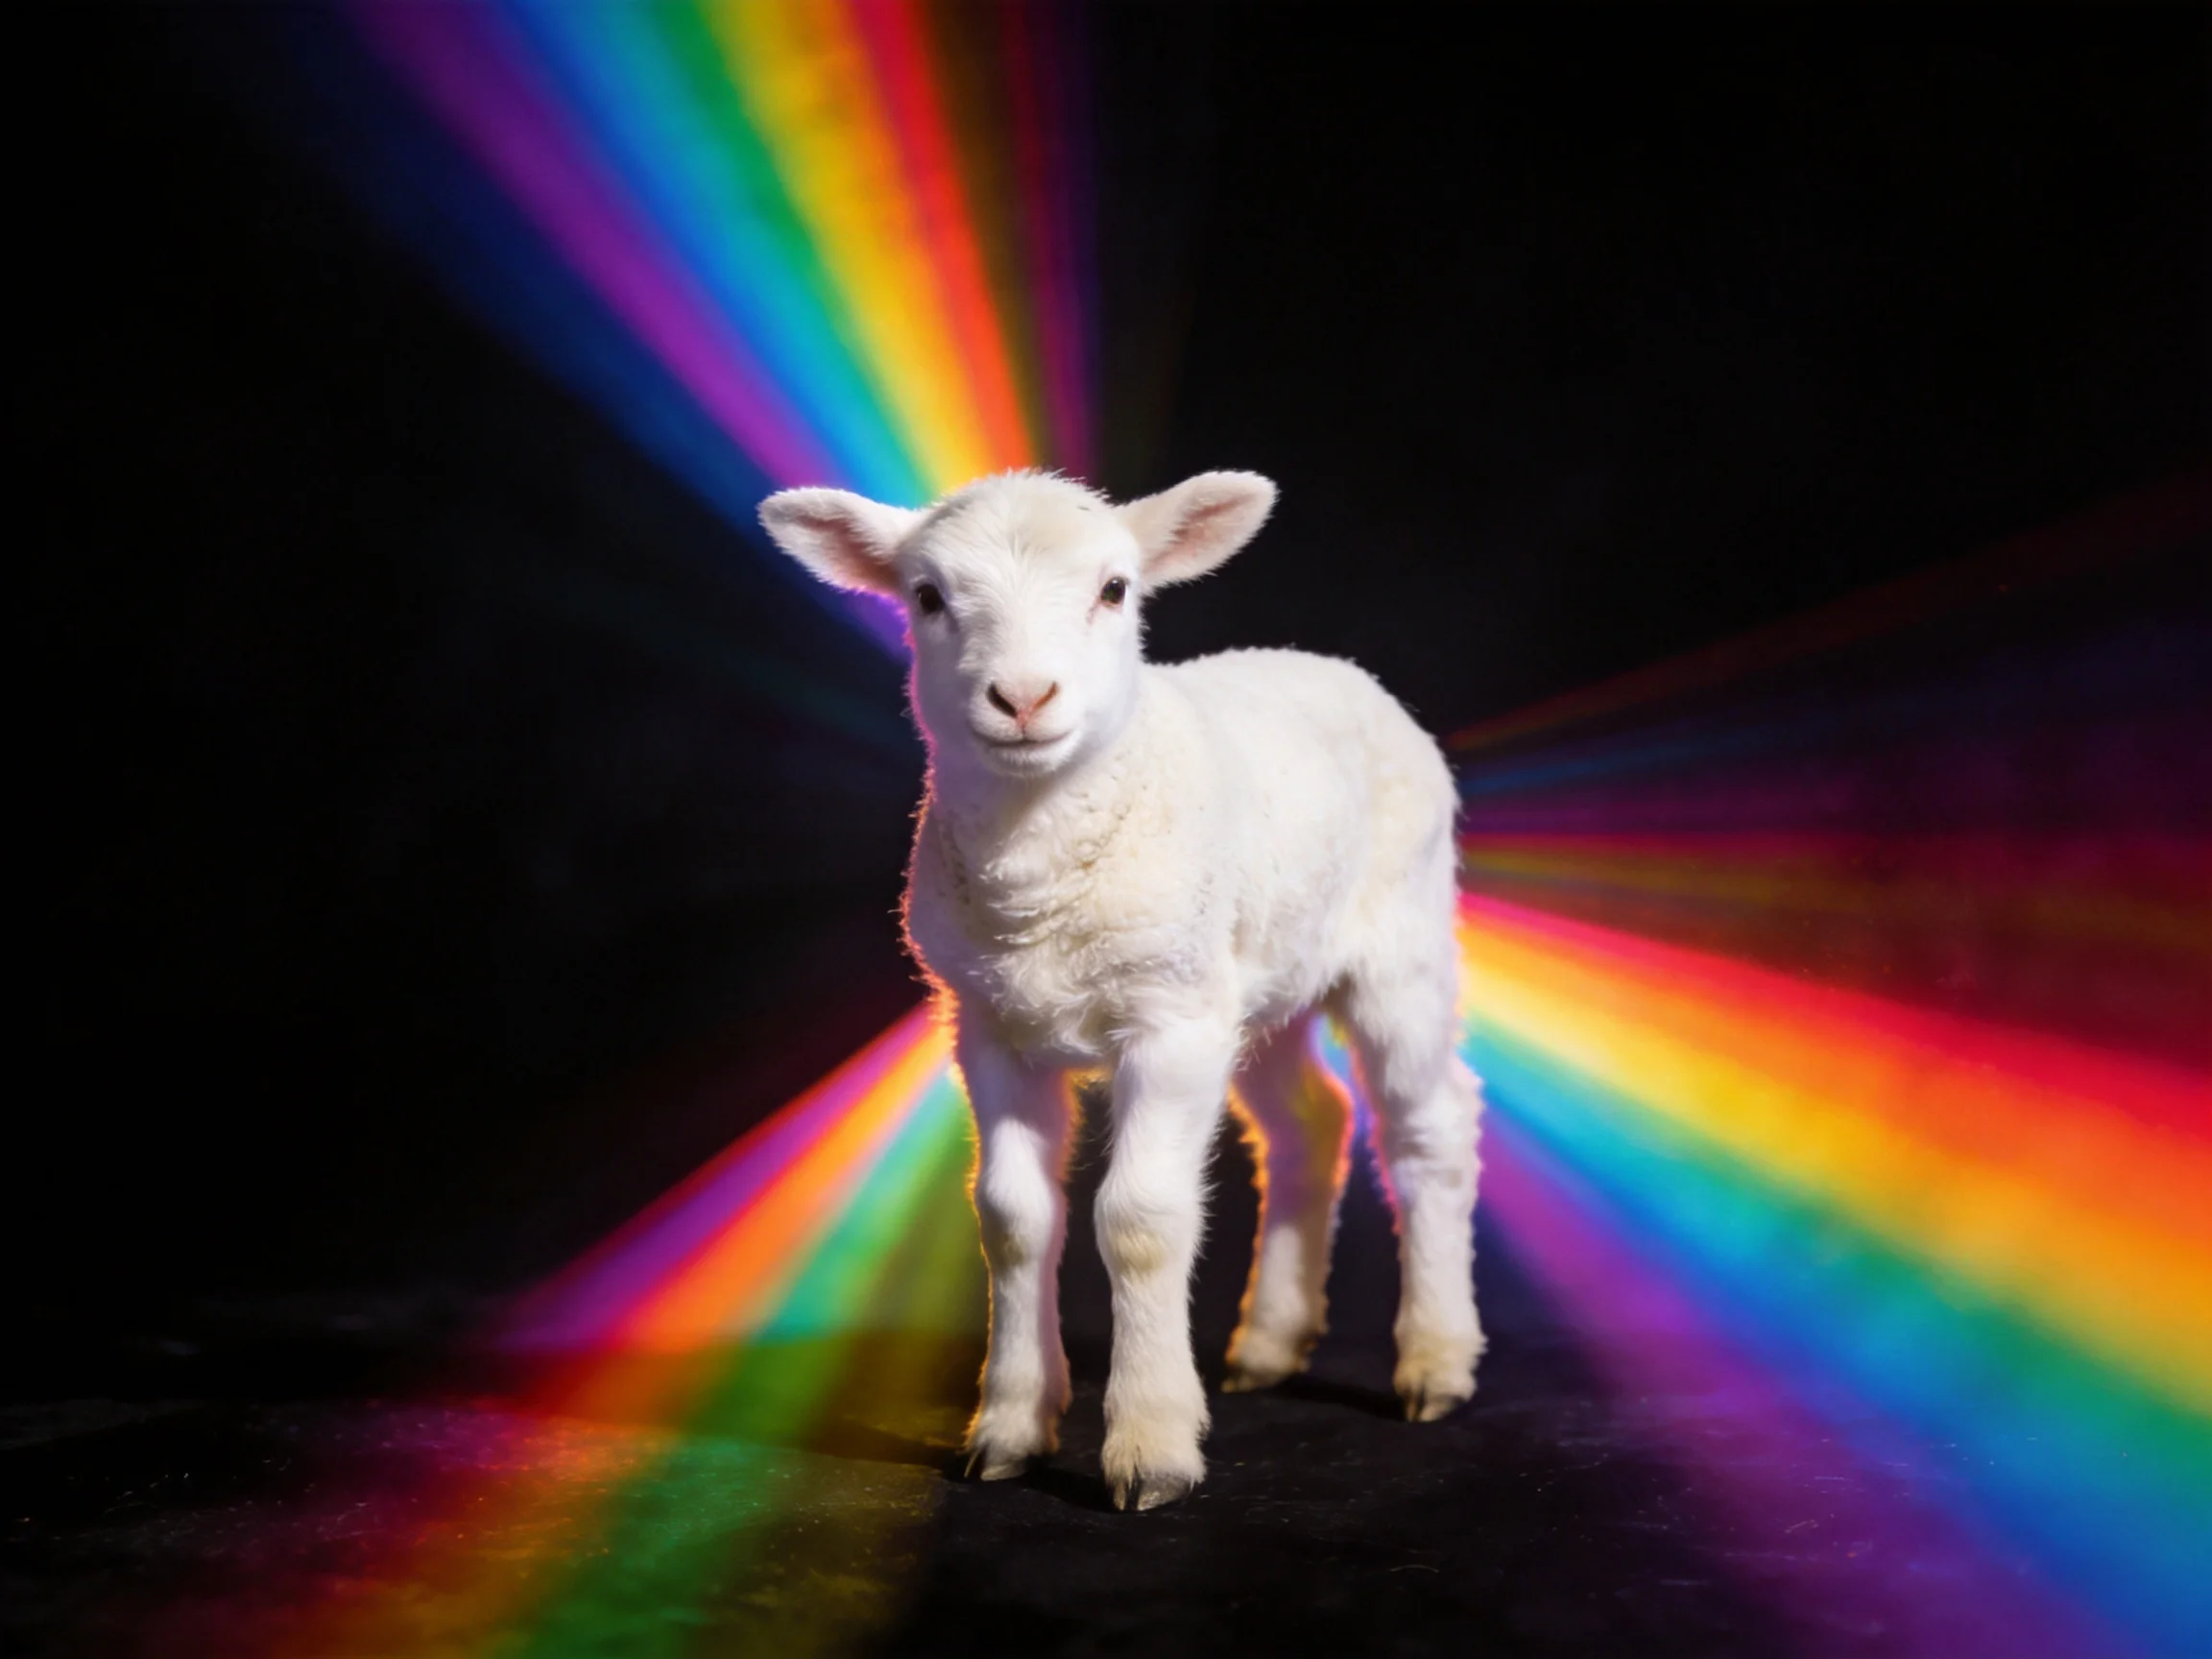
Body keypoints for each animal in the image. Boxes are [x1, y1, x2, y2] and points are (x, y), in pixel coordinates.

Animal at [758, 469, 1483, 1511]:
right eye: (928, 598)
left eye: (1113, 590)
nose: (1023, 697)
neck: (1042, 875)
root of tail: (1333, 665)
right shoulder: (990, 1027)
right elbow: (1013, 1218)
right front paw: (1011, 1427)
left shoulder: (1167, 1023)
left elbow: (1139, 1220)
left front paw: (1150, 1445)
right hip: (1252, 983)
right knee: (1311, 1119)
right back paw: (1269, 1343)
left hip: (1400, 940)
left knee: (1428, 1129)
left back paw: (1436, 1359)